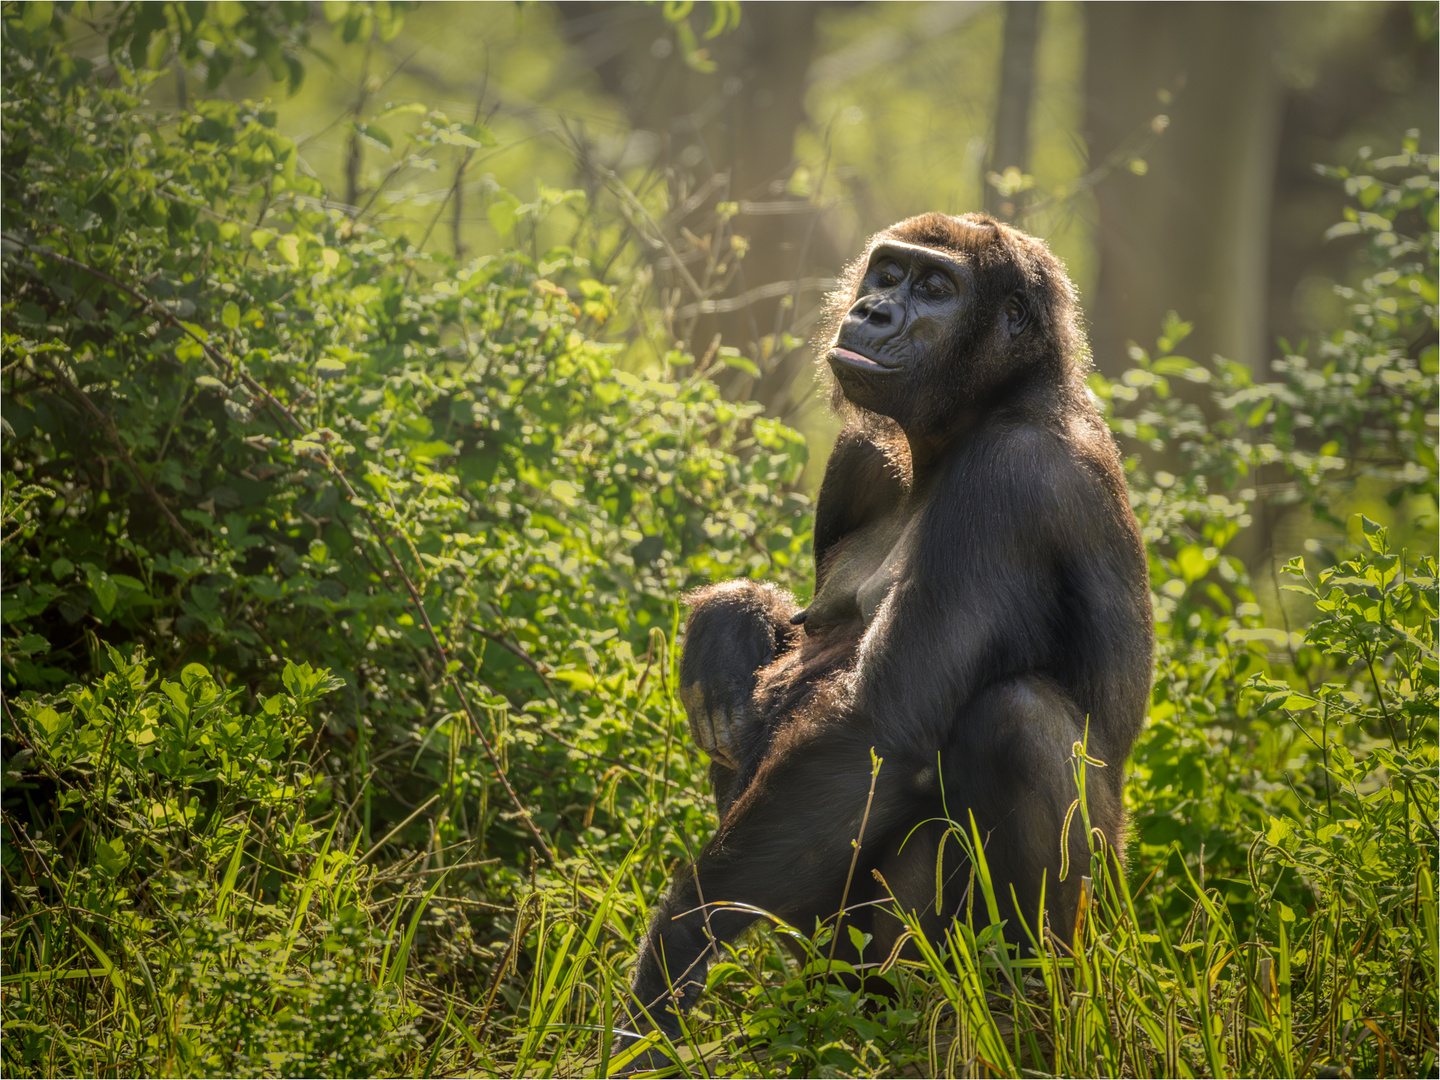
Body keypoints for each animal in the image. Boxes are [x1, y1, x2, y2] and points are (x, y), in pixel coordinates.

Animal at [616, 213, 1146, 1059]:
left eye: (934, 287)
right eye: (887, 275)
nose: (872, 312)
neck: (987, 404)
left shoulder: (1008, 479)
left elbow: (880, 727)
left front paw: (674, 948)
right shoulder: (860, 454)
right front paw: (731, 618)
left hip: (1080, 945)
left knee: (1017, 719)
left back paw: (1024, 1018)